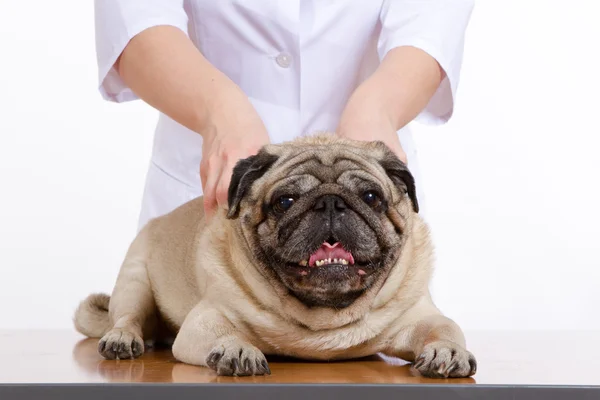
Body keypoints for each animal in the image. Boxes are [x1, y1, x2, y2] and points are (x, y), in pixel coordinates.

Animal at [74, 134, 478, 378]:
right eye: (285, 201)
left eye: (371, 197)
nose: (330, 203)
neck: (325, 316)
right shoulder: (204, 322)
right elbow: (224, 331)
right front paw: (237, 348)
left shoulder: (419, 318)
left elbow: (445, 328)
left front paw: (447, 351)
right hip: (135, 280)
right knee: (126, 316)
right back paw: (123, 338)